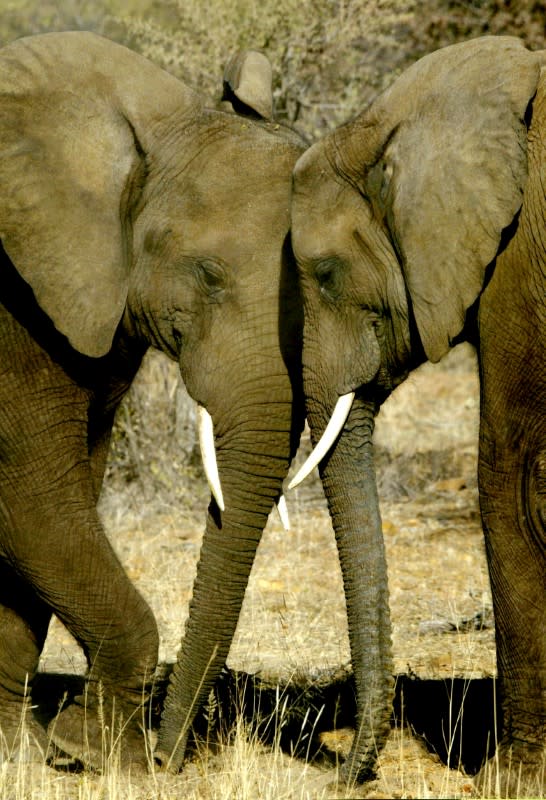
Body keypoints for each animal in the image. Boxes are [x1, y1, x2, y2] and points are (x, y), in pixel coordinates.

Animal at [0, 34, 304, 772]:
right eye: (209, 276)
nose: (168, 757)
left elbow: (64, 496)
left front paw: (34, 751)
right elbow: (33, 498)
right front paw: (95, 751)